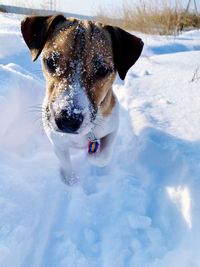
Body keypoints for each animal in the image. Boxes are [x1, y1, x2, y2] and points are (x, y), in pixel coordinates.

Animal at [20, 14, 144, 185]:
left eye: (103, 70)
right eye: (51, 62)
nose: (67, 120)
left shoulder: (112, 128)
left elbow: (103, 156)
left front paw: (91, 158)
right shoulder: (57, 142)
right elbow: (66, 163)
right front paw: (71, 181)